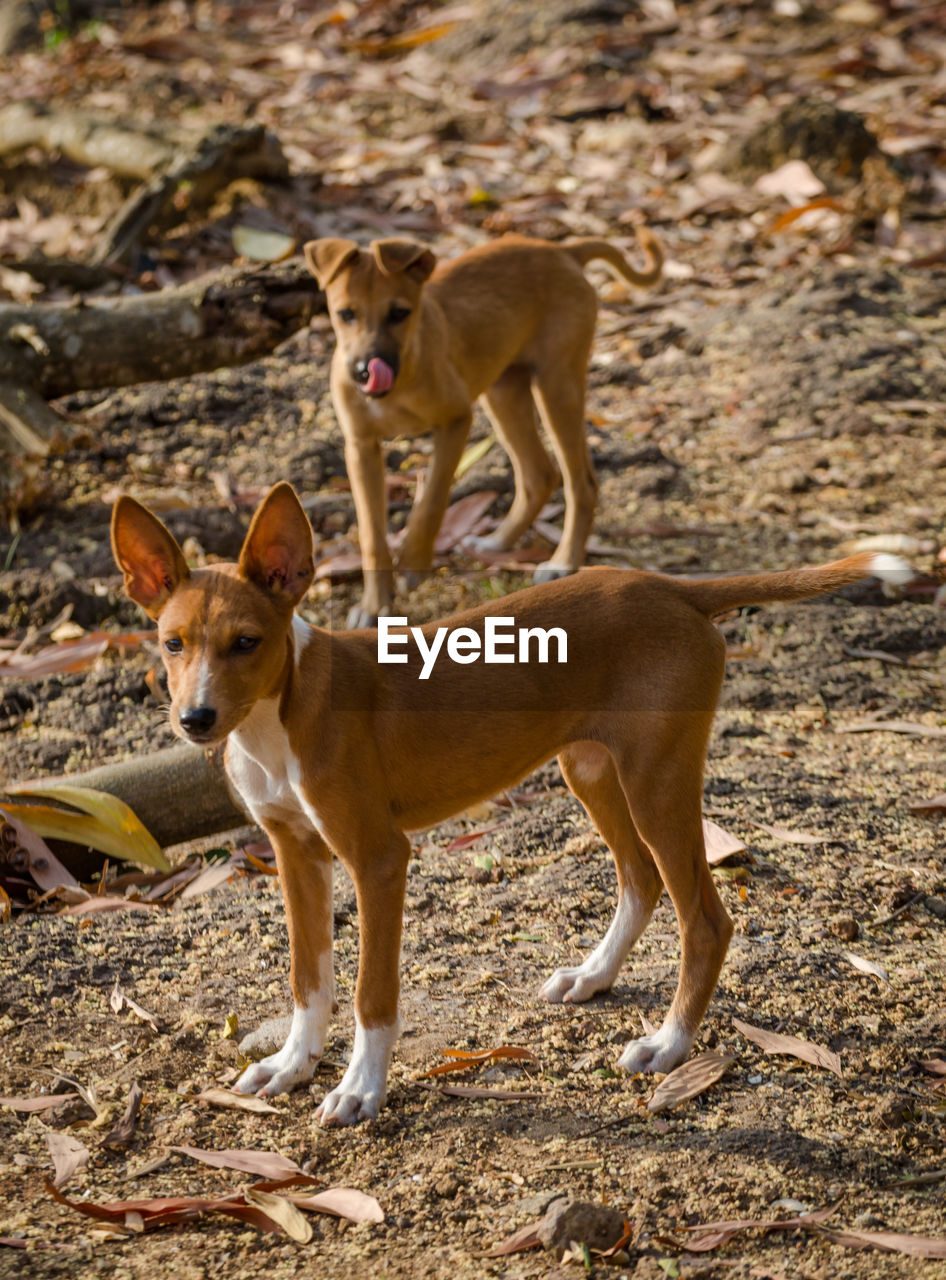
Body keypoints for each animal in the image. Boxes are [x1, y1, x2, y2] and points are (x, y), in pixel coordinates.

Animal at [110, 483, 911, 1126]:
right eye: (172, 644)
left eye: (246, 643)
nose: (196, 719)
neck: (284, 717)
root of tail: (670, 586)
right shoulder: (295, 854)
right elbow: (309, 980)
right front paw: (291, 1064)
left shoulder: (378, 858)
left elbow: (372, 993)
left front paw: (360, 1089)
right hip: (591, 769)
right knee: (639, 879)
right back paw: (593, 976)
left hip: (656, 780)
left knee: (706, 920)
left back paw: (668, 1044)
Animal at [307, 234, 660, 629]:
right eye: (345, 314)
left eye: (399, 313)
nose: (366, 371)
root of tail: (561, 250)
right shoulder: (361, 446)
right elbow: (371, 535)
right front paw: (374, 604)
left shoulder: (456, 421)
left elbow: (431, 501)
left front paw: (414, 560)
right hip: (505, 391)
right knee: (539, 474)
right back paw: (498, 542)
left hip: (557, 385)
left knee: (580, 482)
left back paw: (563, 561)